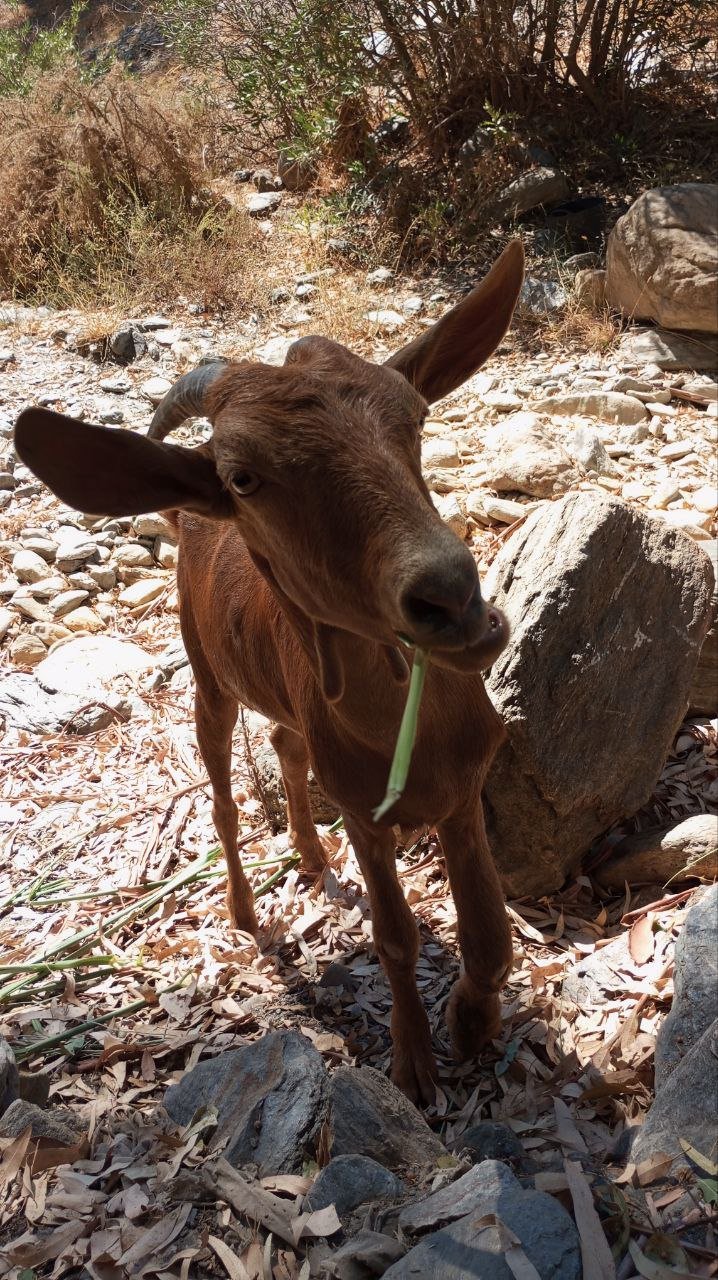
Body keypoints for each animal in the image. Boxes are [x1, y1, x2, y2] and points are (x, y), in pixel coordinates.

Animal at [13, 240, 524, 1100]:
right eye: (245, 476)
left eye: (416, 418)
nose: (452, 598)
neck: (409, 730)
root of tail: (186, 508)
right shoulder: (365, 811)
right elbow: (396, 939)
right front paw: (414, 1065)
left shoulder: (465, 788)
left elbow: (490, 937)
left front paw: (473, 1023)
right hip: (207, 677)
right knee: (222, 793)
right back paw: (248, 912)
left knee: (286, 747)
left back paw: (312, 859)